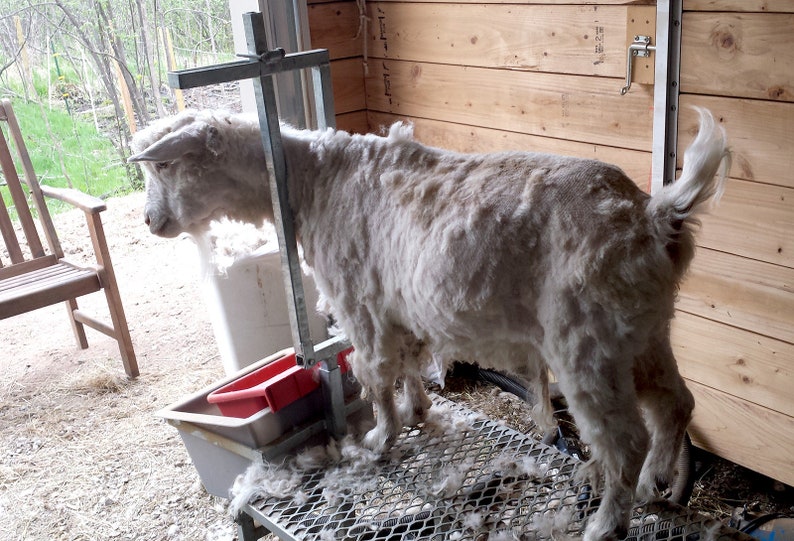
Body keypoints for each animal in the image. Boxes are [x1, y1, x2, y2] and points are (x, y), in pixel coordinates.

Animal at [129, 109, 729, 541]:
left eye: (163, 165)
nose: (150, 221)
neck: (312, 182)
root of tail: (654, 218)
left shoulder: (360, 302)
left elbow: (373, 373)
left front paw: (379, 437)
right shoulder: (401, 305)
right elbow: (408, 363)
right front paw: (417, 411)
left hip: (588, 342)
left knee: (625, 438)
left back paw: (606, 522)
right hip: (643, 331)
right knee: (676, 404)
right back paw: (655, 485)